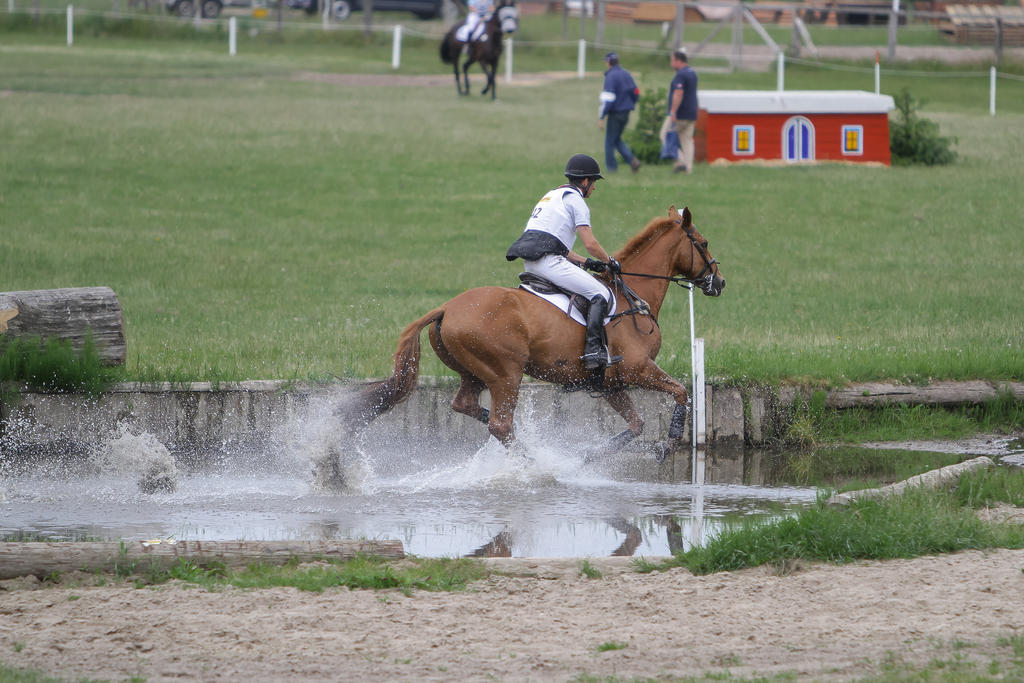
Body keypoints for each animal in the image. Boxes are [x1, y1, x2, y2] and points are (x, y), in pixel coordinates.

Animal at [348, 205, 724, 456]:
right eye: (704, 243)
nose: (719, 282)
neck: (630, 294)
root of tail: (447, 308)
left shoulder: (610, 383)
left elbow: (635, 425)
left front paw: (590, 459)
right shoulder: (638, 368)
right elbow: (680, 392)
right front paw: (670, 442)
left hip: (474, 372)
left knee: (468, 406)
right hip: (505, 374)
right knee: (500, 425)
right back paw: (535, 465)